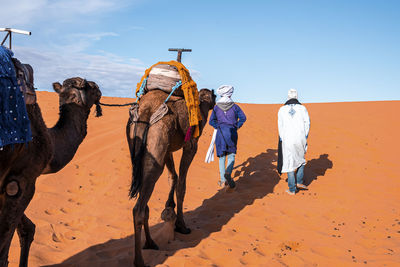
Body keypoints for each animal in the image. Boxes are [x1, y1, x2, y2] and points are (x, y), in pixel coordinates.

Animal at [126, 89, 216, 266]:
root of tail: (146, 109)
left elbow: (173, 176)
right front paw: (182, 226)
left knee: (144, 200)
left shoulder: (167, 149)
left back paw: (150, 243)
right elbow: (182, 185)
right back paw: (139, 260)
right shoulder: (191, 145)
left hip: (139, 149)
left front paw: (169, 205)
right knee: (139, 208)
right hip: (157, 141)